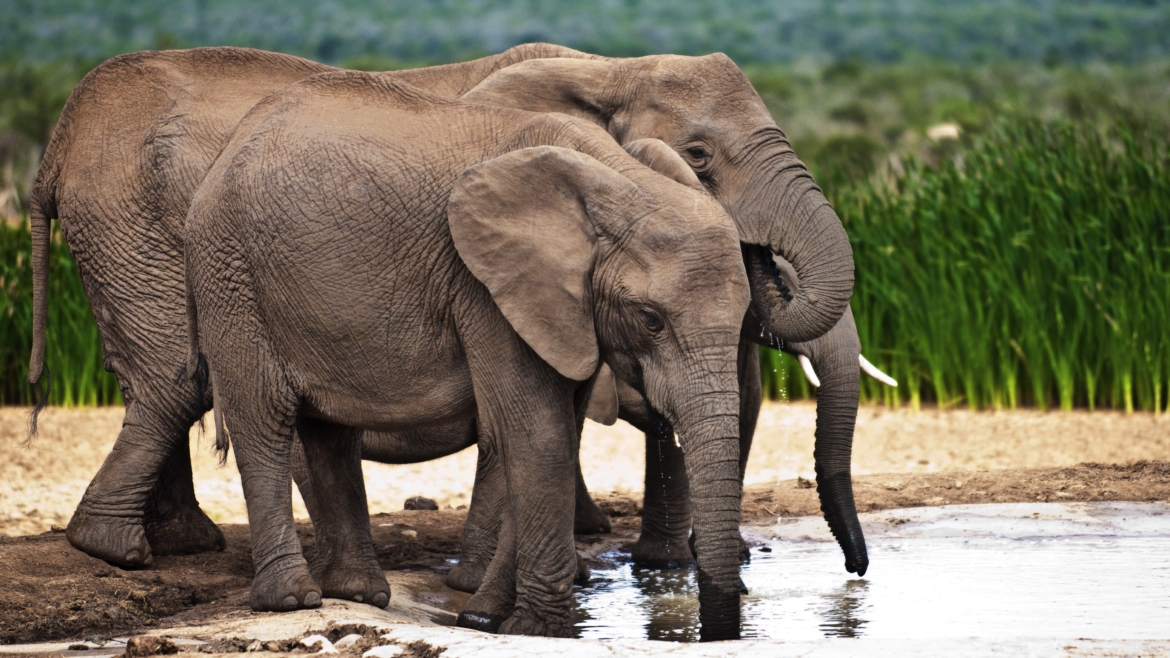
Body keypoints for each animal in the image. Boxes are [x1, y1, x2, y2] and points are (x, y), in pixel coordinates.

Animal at [28, 45, 856, 572]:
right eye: (701, 157)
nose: (854, 571)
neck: (605, 67)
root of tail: (57, 142)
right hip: (145, 229)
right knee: (180, 379)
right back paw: (120, 551)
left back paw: (180, 547)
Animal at [183, 72, 751, 638]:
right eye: (651, 319)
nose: (739, 596)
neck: (620, 182)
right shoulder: (485, 286)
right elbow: (537, 433)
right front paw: (535, 629)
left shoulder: (570, 308)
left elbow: (556, 430)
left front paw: (486, 616)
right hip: (231, 272)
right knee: (264, 419)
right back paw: (292, 600)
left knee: (331, 432)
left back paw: (357, 593)